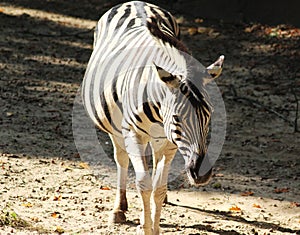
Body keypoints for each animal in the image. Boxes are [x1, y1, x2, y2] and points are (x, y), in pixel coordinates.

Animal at [81, 0, 224, 234]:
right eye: (176, 118)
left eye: (209, 116)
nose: (201, 175)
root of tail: (135, 2)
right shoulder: (133, 134)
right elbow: (144, 185)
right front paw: (146, 225)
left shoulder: (170, 142)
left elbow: (158, 187)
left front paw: (153, 224)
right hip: (116, 129)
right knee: (122, 159)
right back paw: (119, 209)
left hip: (158, 140)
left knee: (154, 166)